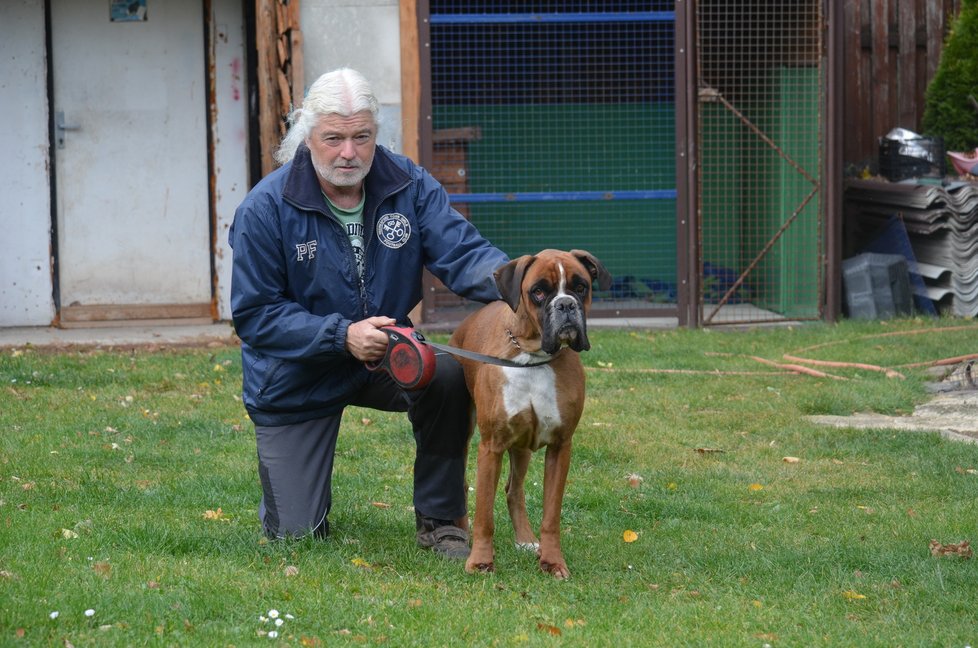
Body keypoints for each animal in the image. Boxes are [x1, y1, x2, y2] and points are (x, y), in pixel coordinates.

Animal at [452, 248, 608, 576]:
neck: (533, 357)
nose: (565, 304)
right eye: (538, 292)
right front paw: (480, 560)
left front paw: (552, 561)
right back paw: (460, 532)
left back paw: (525, 538)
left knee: (514, 489)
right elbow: (484, 514)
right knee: (463, 485)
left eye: (581, 287)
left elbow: (551, 515)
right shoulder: (491, 446)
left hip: (521, 446)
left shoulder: (561, 446)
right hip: (465, 432)